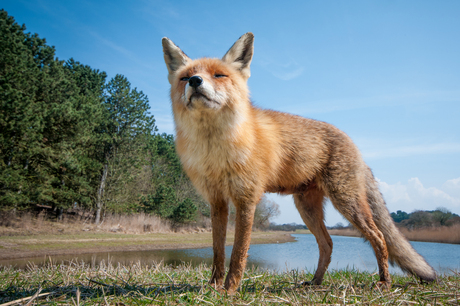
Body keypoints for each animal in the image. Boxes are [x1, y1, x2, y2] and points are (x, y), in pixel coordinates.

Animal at [161, 32, 434, 292]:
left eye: (219, 75)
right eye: (186, 78)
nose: (196, 82)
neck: (215, 151)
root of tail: (354, 144)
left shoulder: (246, 198)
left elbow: (238, 254)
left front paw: (229, 290)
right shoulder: (217, 201)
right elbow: (218, 252)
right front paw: (213, 287)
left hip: (347, 202)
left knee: (378, 237)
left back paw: (384, 282)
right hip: (307, 208)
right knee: (328, 243)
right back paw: (316, 282)